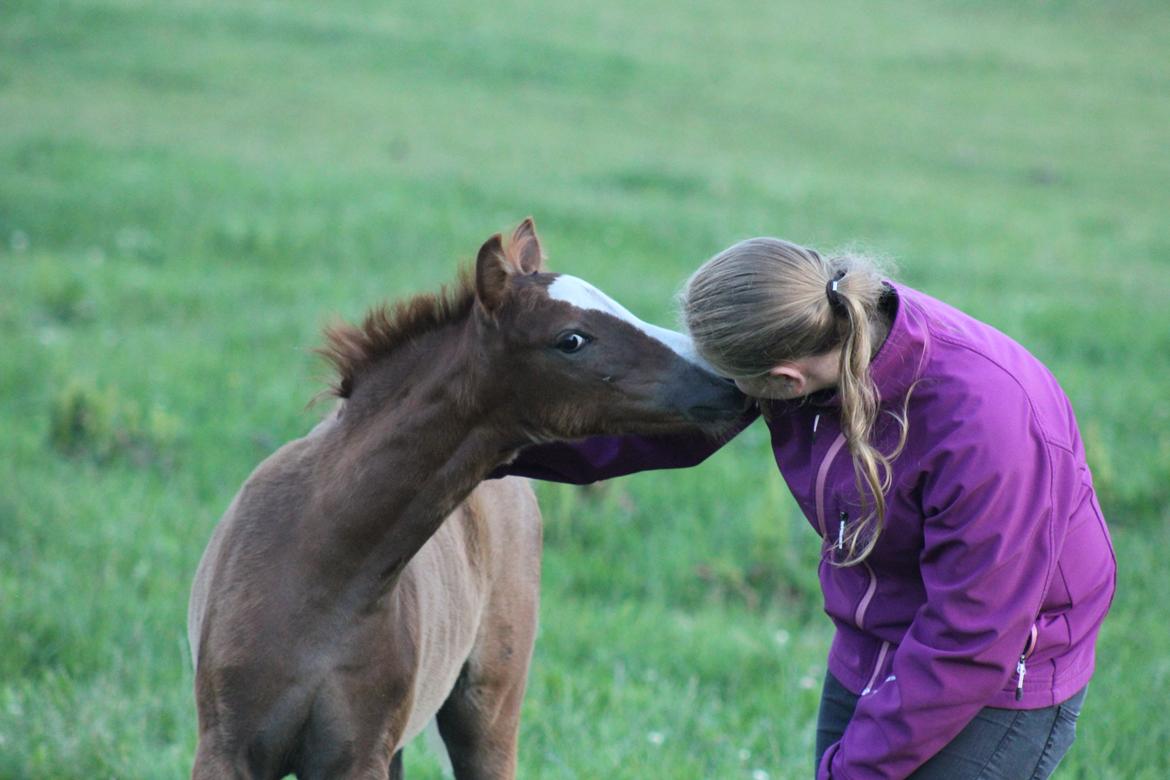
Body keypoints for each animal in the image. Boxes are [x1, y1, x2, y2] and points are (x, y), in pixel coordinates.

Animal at [187, 218, 745, 779]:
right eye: (571, 339)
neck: (322, 567)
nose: (727, 382)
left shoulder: (360, 755)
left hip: (487, 713)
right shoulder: (225, 750)